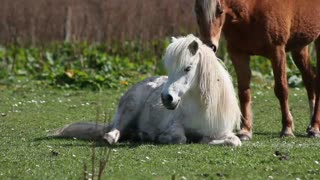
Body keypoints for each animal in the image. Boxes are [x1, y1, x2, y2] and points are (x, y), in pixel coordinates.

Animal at [48, 34, 241, 146]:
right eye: (169, 68)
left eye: (187, 68)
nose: (166, 98)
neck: (202, 109)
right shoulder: (174, 127)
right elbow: (180, 138)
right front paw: (160, 138)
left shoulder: (222, 132)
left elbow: (234, 141)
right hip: (130, 108)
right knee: (115, 130)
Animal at [194, 0, 320, 139]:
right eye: (197, 10)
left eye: (220, 11)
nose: (210, 46)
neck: (251, 9)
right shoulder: (238, 54)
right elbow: (243, 92)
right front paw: (245, 131)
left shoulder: (277, 51)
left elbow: (282, 90)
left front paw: (287, 129)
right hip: (299, 47)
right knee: (309, 80)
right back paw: (311, 125)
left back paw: (315, 128)